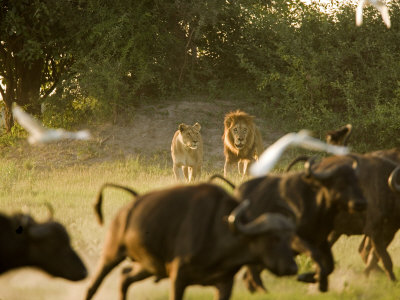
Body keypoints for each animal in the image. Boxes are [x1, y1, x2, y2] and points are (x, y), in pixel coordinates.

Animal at [84, 182, 296, 300]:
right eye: (274, 237)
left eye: (289, 238)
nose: (293, 267)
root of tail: (126, 209)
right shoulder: (178, 276)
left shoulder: (224, 283)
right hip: (112, 253)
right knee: (93, 285)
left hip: (148, 265)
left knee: (125, 277)